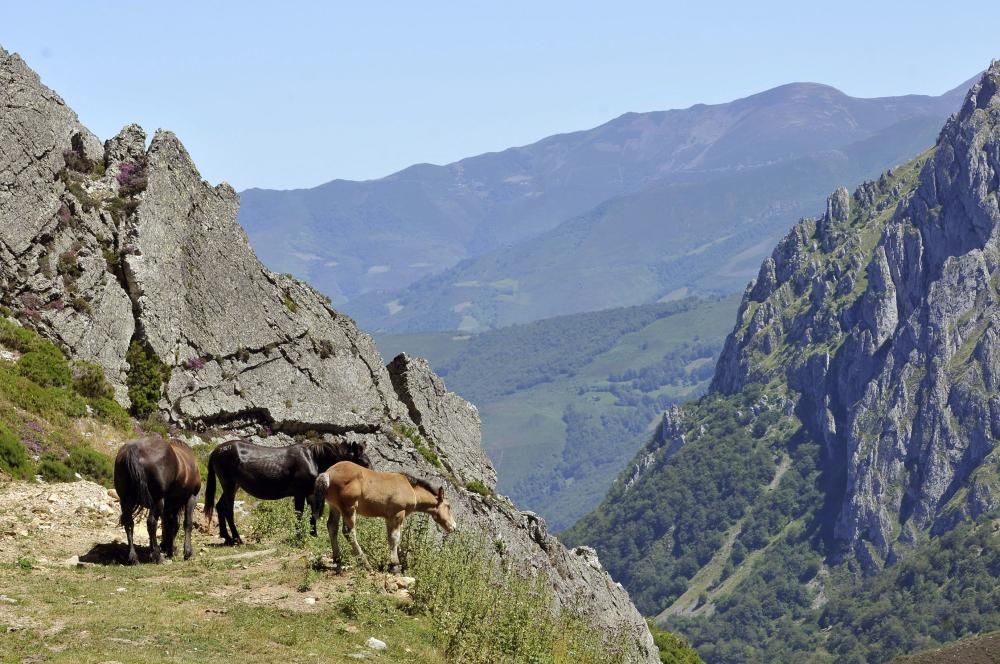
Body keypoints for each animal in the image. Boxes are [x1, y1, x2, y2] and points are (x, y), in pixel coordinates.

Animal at [114, 436, 202, 564]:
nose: (165, 548)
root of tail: (134, 449)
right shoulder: (191, 497)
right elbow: (186, 524)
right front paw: (187, 553)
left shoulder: (170, 506)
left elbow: (169, 524)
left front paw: (166, 549)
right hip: (158, 500)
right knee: (151, 522)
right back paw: (157, 556)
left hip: (125, 500)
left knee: (129, 523)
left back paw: (134, 557)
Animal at [203, 436, 372, 544]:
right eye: (365, 463)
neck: (313, 459)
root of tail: (215, 451)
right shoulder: (299, 493)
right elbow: (299, 514)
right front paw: (299, 536)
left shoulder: (310, 493)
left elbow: (312, 515)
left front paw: (313, 535)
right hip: (229, 484)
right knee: (228, 510)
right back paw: (237, 538)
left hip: (232, 486)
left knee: (220, 506)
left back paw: (226, 537)